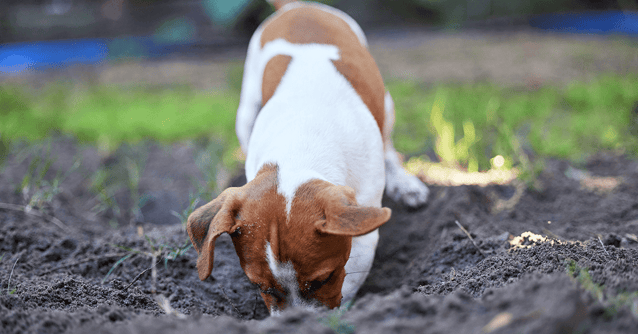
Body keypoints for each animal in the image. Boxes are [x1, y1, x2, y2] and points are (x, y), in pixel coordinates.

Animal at [189, 0, 430, 314]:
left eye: (323, 280)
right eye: (261, 287)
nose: (296, 321)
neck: (300, 143)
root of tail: (298, 5)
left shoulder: (363, 232)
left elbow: (351, 279)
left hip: (386, 106)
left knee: (389, 146)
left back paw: (405, 183)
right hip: (246, 111)